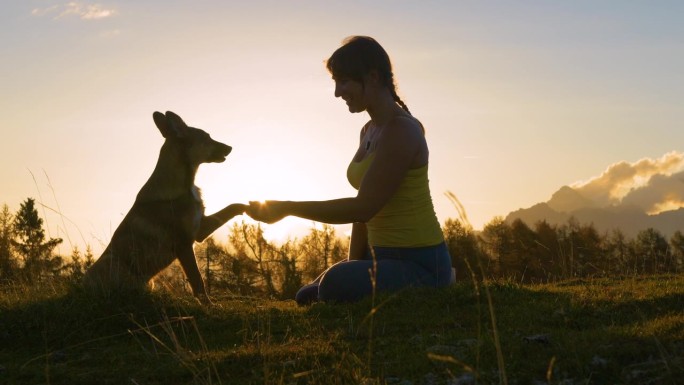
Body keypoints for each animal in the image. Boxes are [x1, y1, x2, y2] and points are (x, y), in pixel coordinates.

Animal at [82, 111, 246, 304]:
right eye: (207, 137)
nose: (230, 147)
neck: (184, 184)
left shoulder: (199, 229)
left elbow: (231, 207)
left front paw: (253, 207)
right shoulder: (183, 243)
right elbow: (197, 279)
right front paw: (208, 304)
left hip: (147, 281)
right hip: (115, 264)